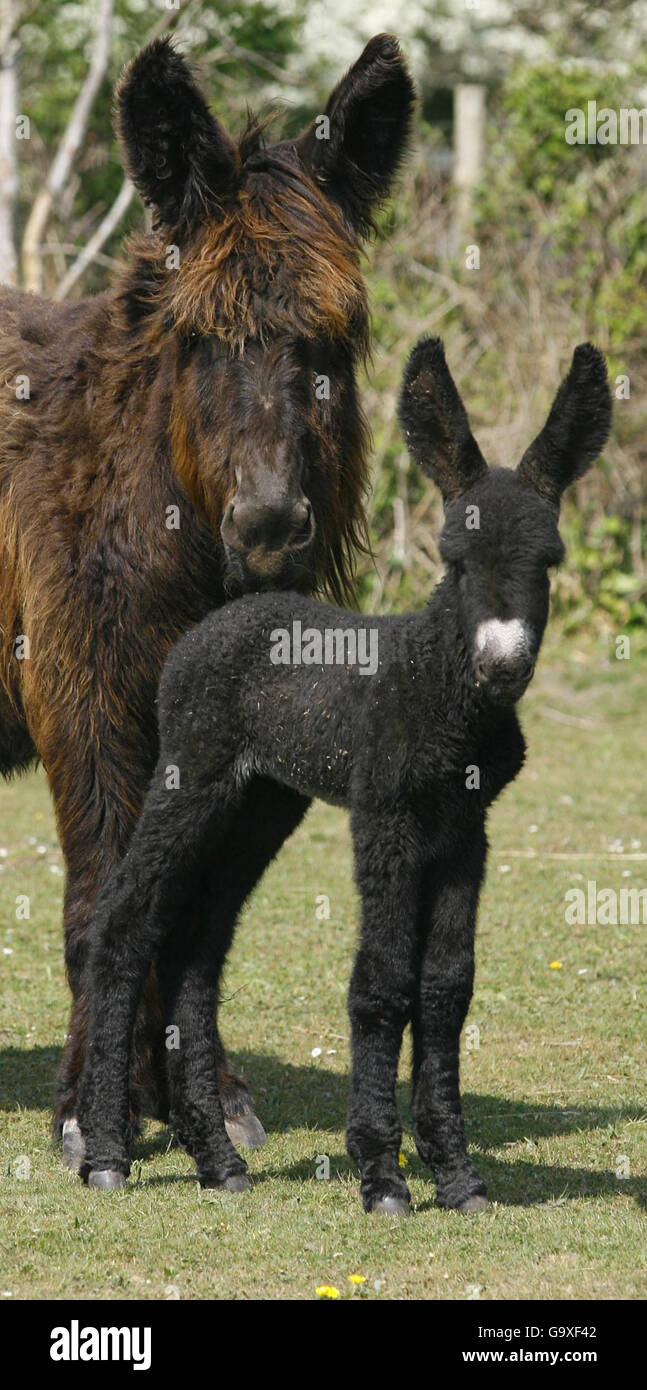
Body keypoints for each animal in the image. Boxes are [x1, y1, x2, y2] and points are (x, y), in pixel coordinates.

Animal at [76, 339, 609, 1217]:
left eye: (548, 560)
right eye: (452, 560)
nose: (501, 667)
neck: (441, 687)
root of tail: (227, 611)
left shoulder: (466, 832)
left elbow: (446, 987)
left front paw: (456, 1174)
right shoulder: (385, 819)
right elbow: (382, 983)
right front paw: (382, 1176)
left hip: (260, 805)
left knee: (195, 945)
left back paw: (217, 1159)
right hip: (192, 777)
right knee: (123, 921)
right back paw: (105, 1155)